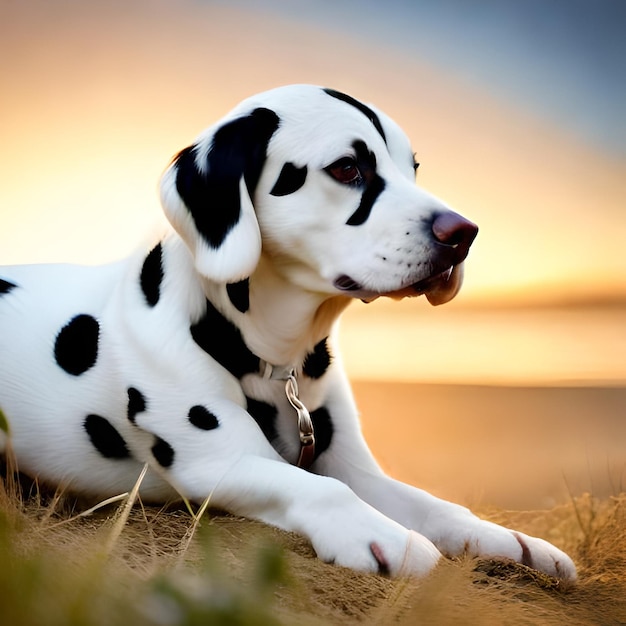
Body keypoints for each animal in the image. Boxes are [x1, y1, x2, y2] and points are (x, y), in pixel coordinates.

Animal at [0, 85, 576, 576]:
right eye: (348, 168)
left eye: (412, 167)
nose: (464, 235)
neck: (279, 360)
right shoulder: (220, 459)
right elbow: (324, 492)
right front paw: (387, 538)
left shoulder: (351, 465)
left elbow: (433, 503)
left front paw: (508, 540)